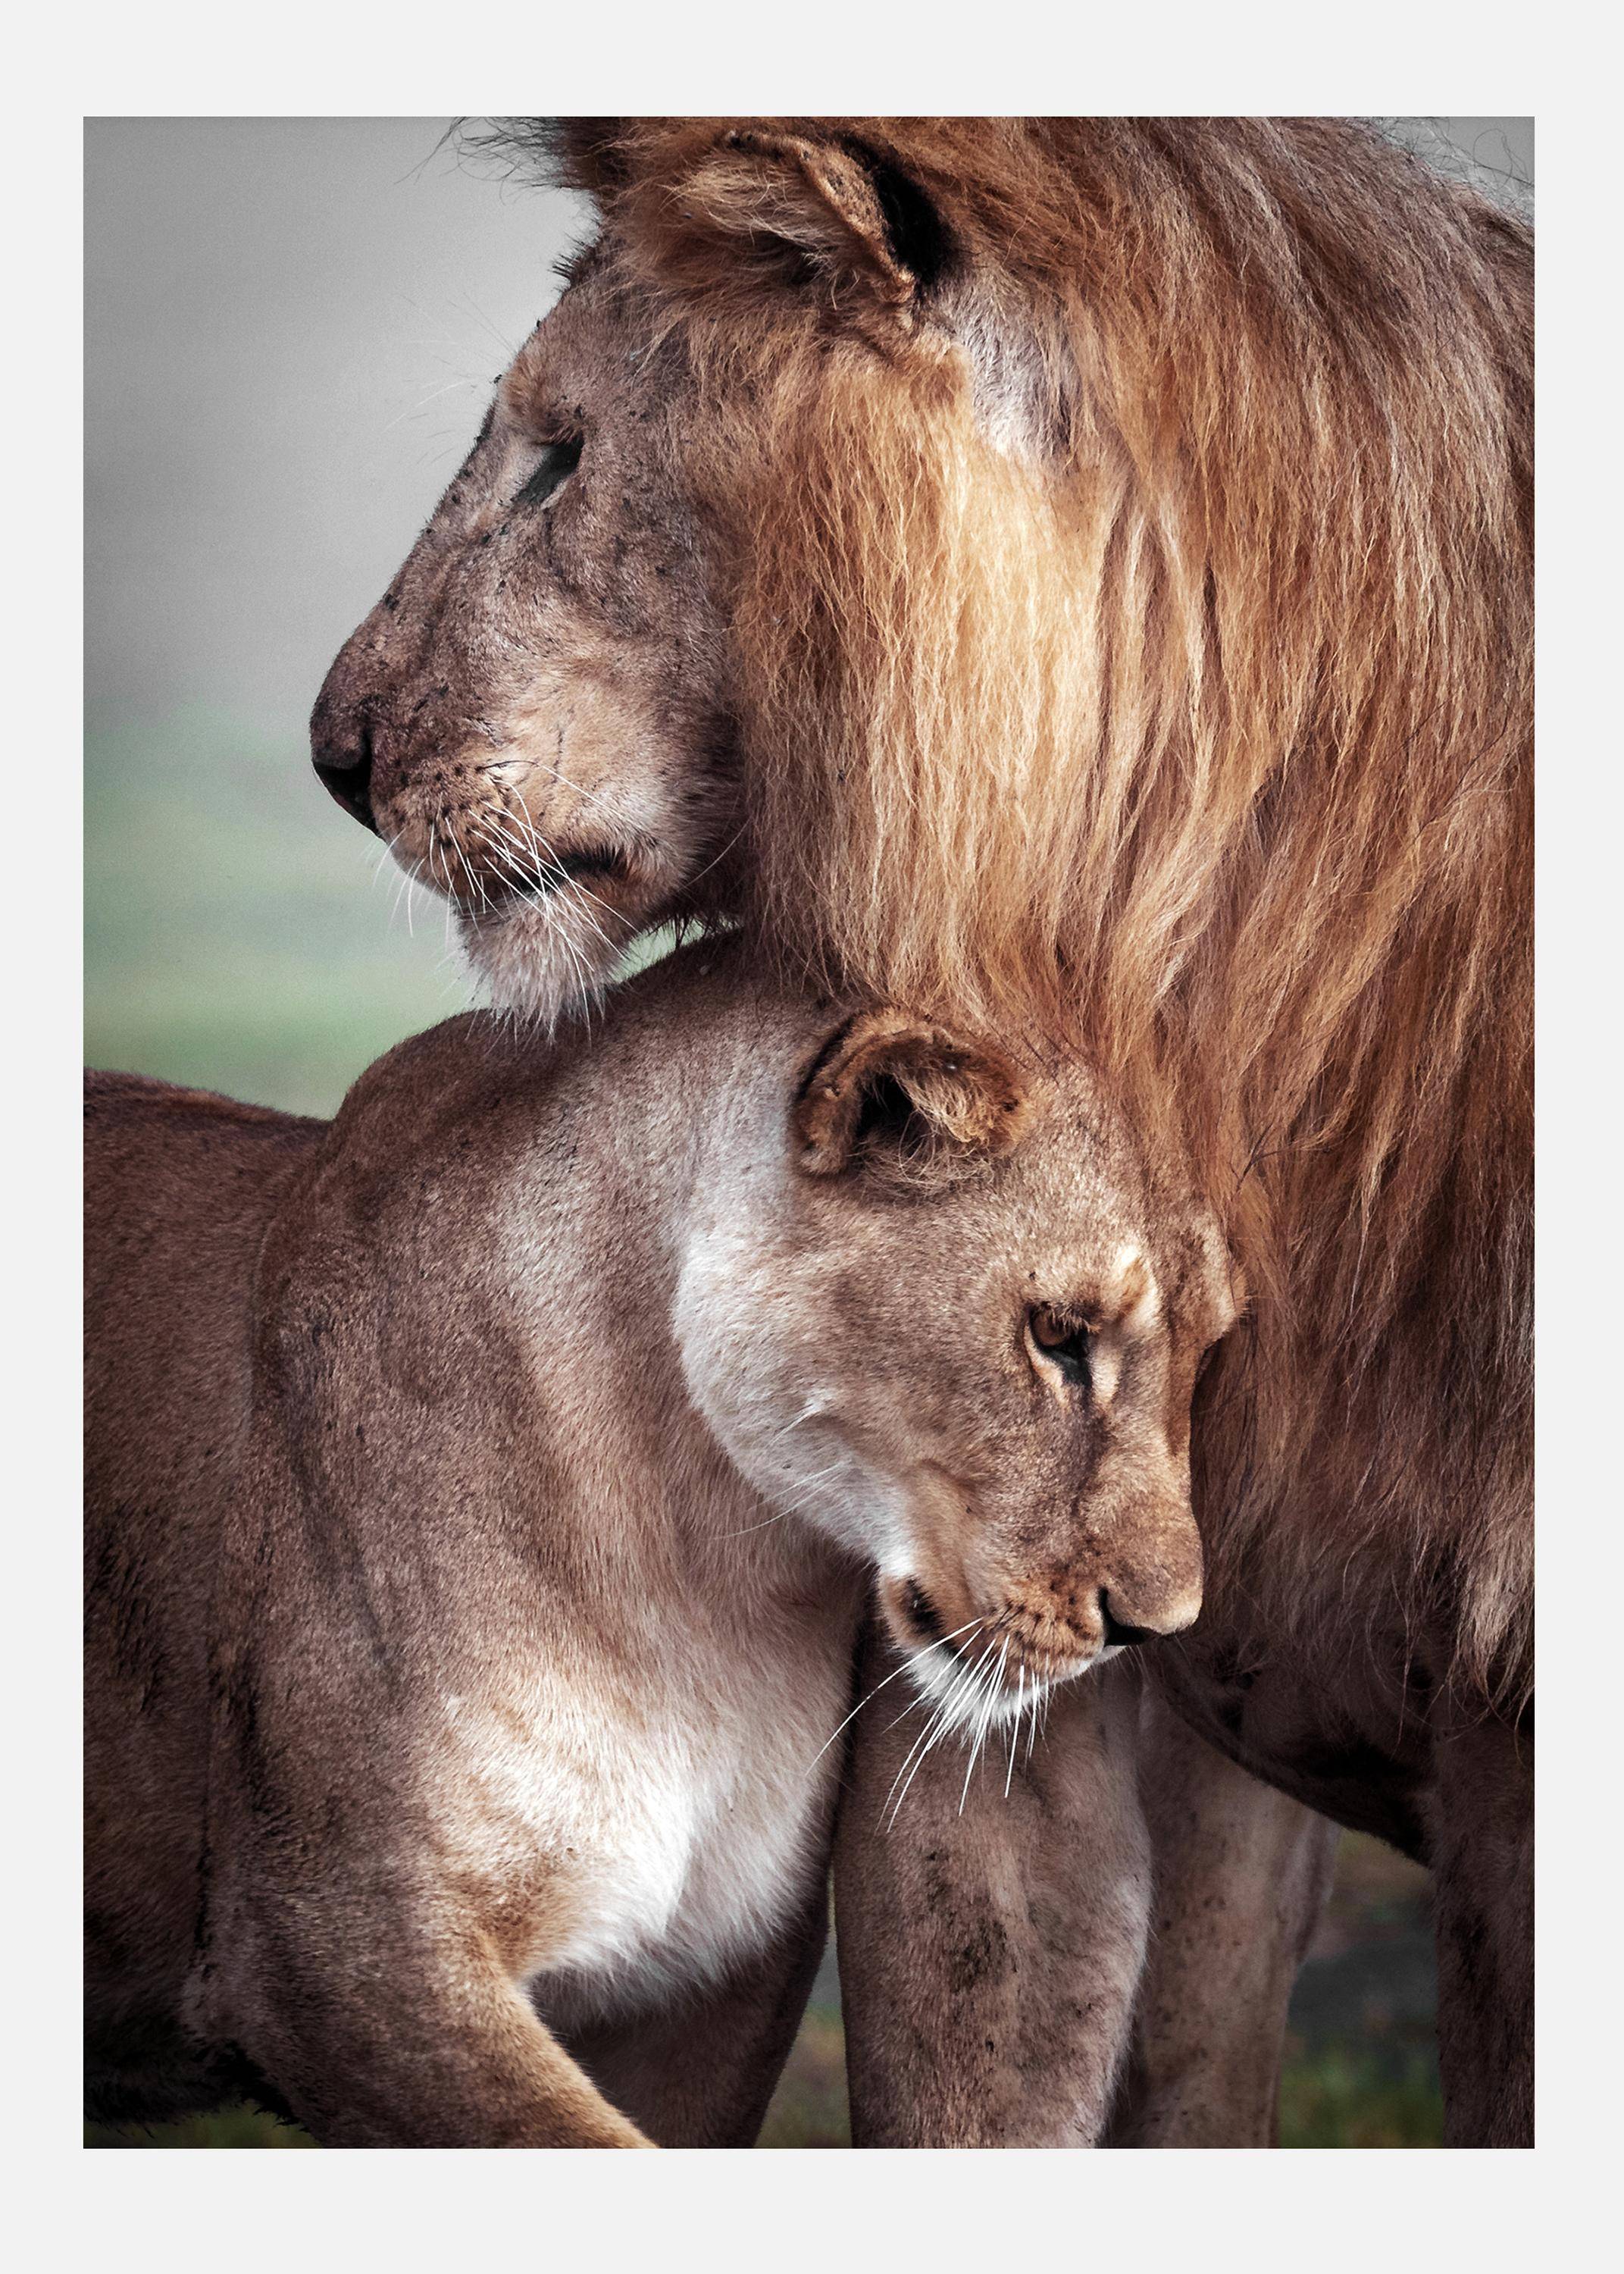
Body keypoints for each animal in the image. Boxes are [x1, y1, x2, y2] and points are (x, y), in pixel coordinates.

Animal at [85, 942, 1242, 2147]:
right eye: (1057, 1336)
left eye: (1209, 1350)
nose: (1158, 1626)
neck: (707, 1572)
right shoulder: (328, 1943)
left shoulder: (701, 1990)